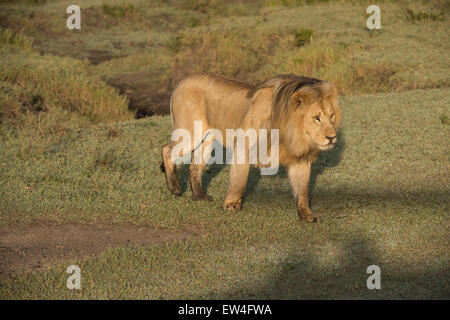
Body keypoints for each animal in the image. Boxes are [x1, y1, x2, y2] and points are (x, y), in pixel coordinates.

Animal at [161, 73, 342, 222]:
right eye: (316, 118)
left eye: (332, 116)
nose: (332, 137)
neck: (293, 134)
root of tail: (181, 82)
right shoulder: (244, 145)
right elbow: (239, 180)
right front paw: (231, 205)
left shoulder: (300, 159)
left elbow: (302, 190)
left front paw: (307, 215)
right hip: (190, 134)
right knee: (166, 150)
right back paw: (175, 188)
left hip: (207, 139)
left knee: (195, 166)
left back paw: (199, 196)